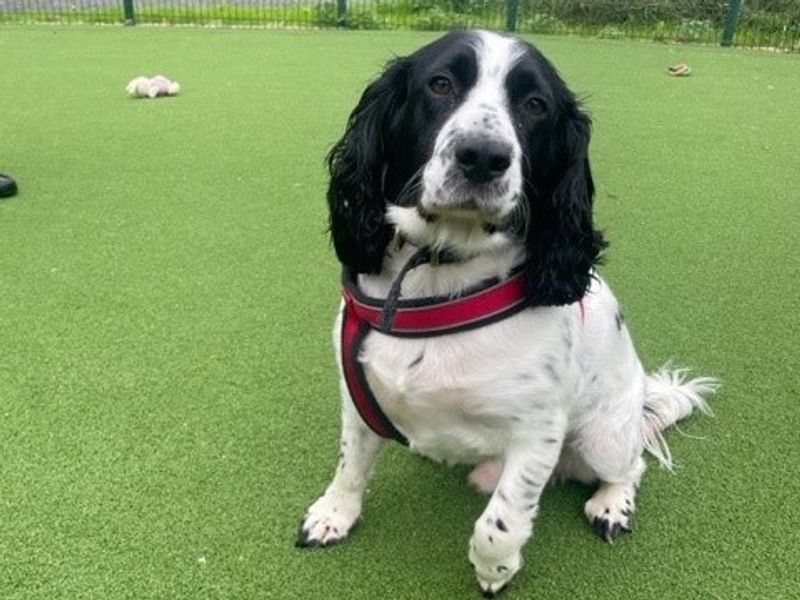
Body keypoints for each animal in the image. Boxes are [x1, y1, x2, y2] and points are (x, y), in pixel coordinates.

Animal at [296, 31, 720, 596]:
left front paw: (494, 569)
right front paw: (334, 514)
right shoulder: (358, 395)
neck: (438, 273)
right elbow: (351, 463)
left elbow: (499, 522)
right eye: (440, 84)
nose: (482, 156)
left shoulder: (537, 431)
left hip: (604, 437)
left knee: (631, 466)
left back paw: (612, 504)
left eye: (535, 105)